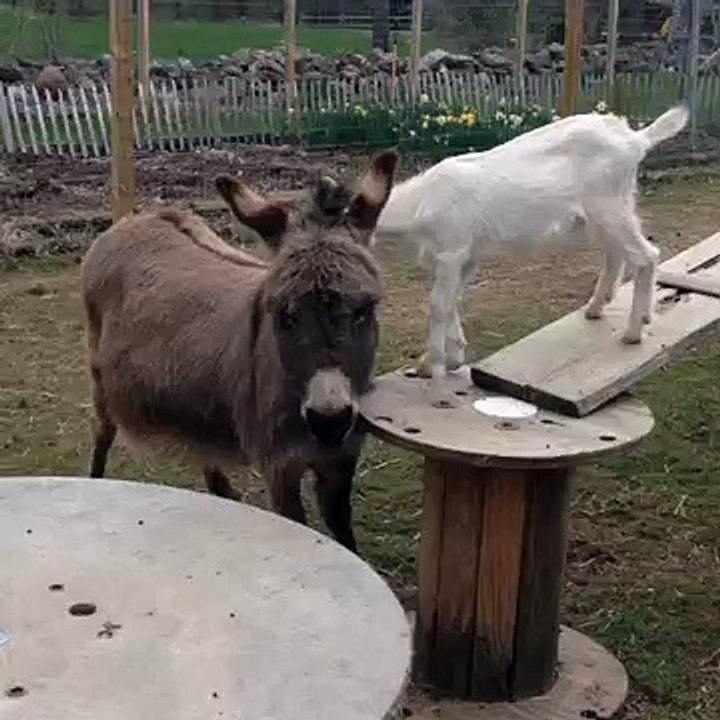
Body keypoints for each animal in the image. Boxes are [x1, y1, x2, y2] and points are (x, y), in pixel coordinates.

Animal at [80, 151, 398, 553]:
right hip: (99, 379)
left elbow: (343, 534)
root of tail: (139, 217)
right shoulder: (280, 467)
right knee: (101, 433)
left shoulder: (342, 461)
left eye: (364, 309)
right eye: (284, 315)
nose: (329, 421)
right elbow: (297, 523)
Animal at [370, 105, 690, 379]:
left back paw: (634, 332)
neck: (420, 203)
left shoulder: (452, 248)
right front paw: (454, 358)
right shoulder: (466, 256)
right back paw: (597, 307)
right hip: (611, 209)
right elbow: (452, 301)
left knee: (646, 255)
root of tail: (636, 139)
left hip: (607, 206)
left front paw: (428, 364)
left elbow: (438, 303)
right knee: (618, 252)